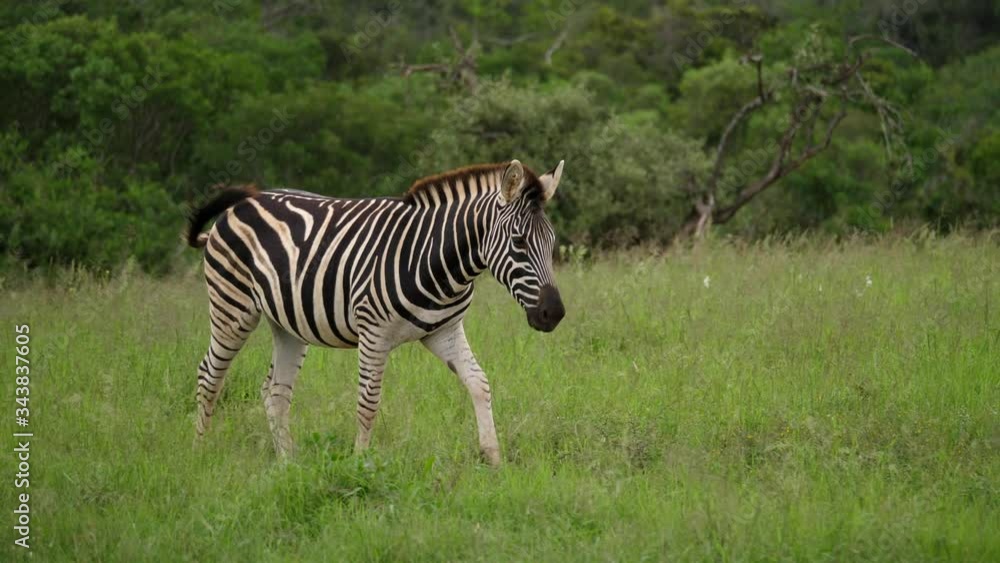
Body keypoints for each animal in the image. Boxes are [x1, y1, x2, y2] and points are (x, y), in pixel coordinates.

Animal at [186, 159, 566, 466]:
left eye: (551, 241)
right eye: (519, 242)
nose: (554, 314)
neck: (438, 261)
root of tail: (243, 201)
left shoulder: (445, 331)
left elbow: (479, 384)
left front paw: (494, 460)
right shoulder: (374, 333)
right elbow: (368, 402)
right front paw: (360, 463)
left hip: (287, 325)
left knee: (275, 391)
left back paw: (288, 462)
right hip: (232, 307)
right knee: (209, 375)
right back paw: (200, 452)